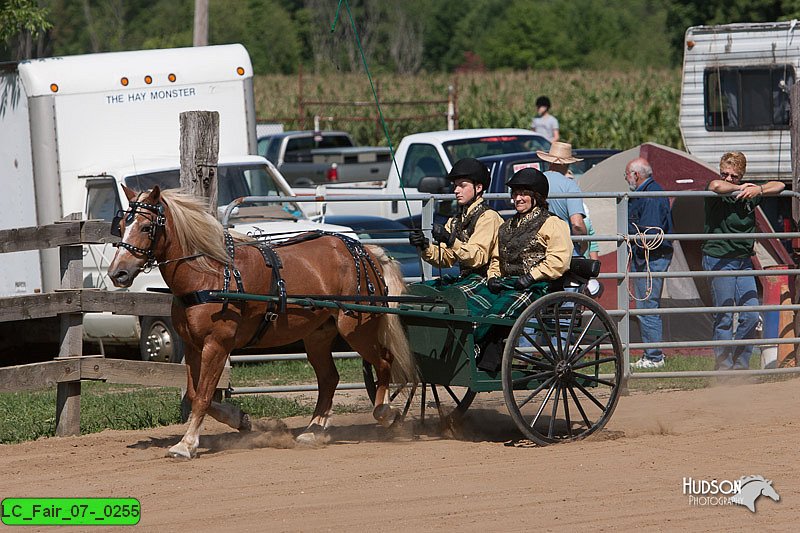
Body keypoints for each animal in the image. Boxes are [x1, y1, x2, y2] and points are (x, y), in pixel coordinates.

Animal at [108, 184, 418, 458]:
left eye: (146, 227)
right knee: (330, 379)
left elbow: (204, 396)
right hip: (317, 336)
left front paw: (186, 445)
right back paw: (313, 430)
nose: (117, 273)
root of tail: (365, 251)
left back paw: (386, 413)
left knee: (384, 361)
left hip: (356, 329)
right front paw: (240, 419)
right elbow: (197, 395)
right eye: (122, 226)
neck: (209, 274)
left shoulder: (217, 345)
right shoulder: (194, 347)